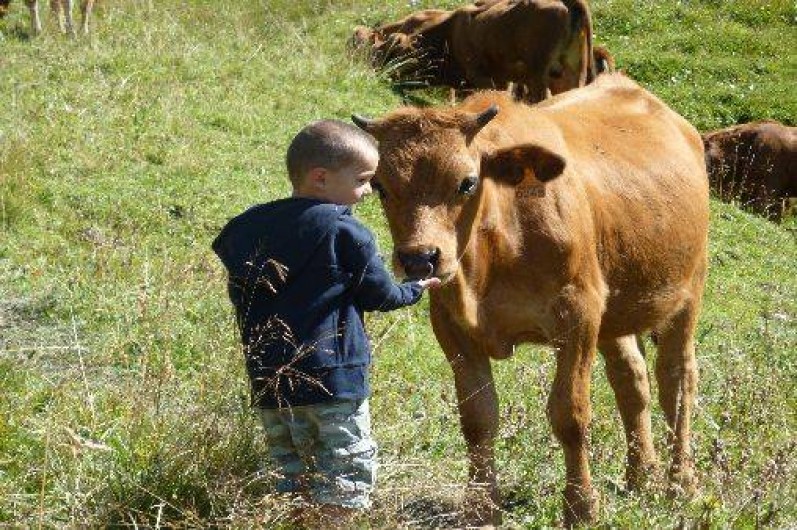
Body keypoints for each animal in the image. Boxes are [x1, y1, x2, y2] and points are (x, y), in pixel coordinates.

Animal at [354, 73, 708, 524]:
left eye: (467, 182)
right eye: (380, 185)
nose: (420, 258)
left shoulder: (578, 314)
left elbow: (570, 414)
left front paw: (581, 507)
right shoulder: (451, 325)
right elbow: (478, 418)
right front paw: (481, 509)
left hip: (687, 292)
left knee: (678, 381)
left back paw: (681, 483)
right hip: (615, 309)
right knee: (632, 380)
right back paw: (640, 475)